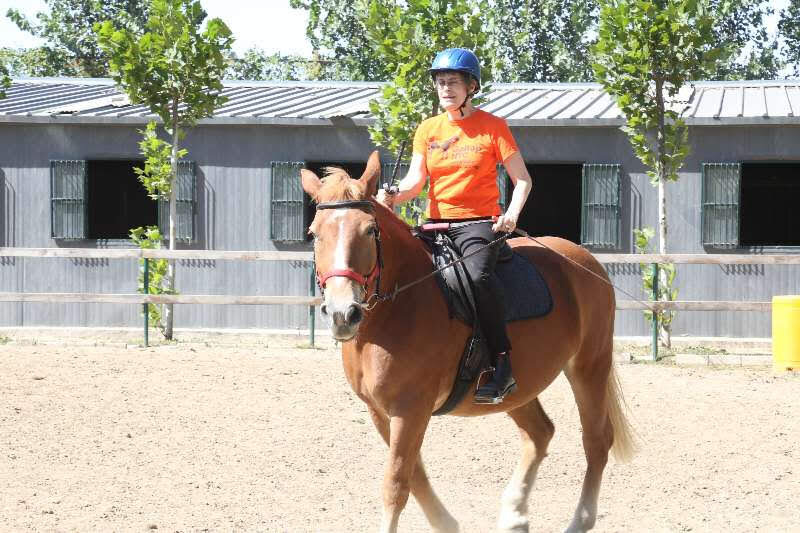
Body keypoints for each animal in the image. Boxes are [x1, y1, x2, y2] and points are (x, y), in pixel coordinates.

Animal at [298, 151, 632, 532]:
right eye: (314, 233)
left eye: (370, 230)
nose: (343, 313)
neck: (398, 307)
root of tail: (585, 260)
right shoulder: (380, 411)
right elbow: (415, 477)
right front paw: (446, 523)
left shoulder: (410, 410)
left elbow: (396, 485)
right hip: (519, 387)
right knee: (540, 433)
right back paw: (514, 513)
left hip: (590, 366)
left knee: (596, 440)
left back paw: (579, 520)